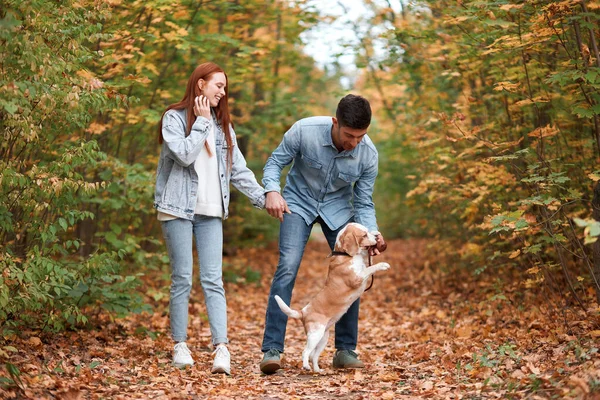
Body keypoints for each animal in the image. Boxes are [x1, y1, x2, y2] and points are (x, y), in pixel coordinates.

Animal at [274, 222, 392, 372]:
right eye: (364, 235)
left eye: (368, 231)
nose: (377, 237)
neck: (346, 255)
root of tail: (303, 312)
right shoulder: (357, 278)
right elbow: (370, 268)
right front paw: (382, 265)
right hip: (315, 335)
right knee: (305, 352)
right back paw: (306, 366)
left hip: (323, 338)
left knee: (314, 355)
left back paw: (318, 370)